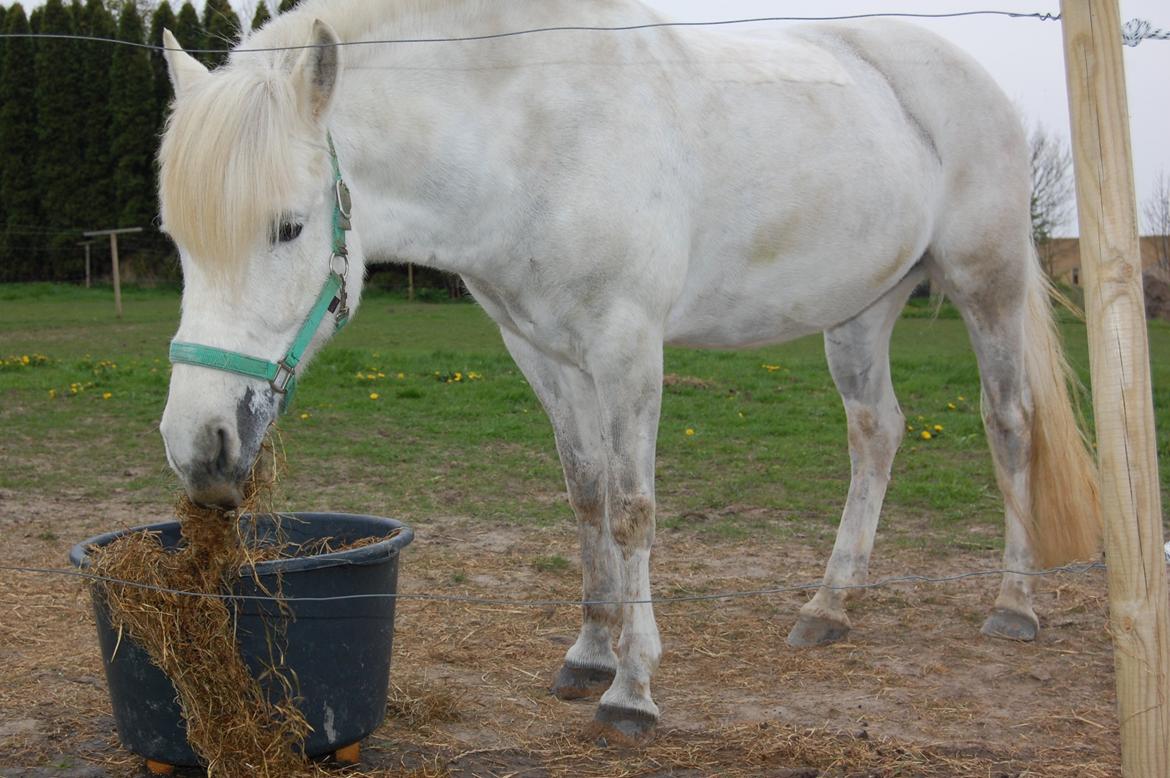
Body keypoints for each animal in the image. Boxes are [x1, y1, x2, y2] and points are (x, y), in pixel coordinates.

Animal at [155, 0, 1095, 739]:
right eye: (177, 237)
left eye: (287, 227)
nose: (200, 446)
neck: (532, 133)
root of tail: (970, 80)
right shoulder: (542, 351)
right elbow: (588, 496)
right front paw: (588, 655)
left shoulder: (627, 346)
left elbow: (635, 509)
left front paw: (633, 690)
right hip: (862, 311)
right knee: (877, 434)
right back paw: (829, 605)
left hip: (986, 285)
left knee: (1010, 426)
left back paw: (1014, 606)